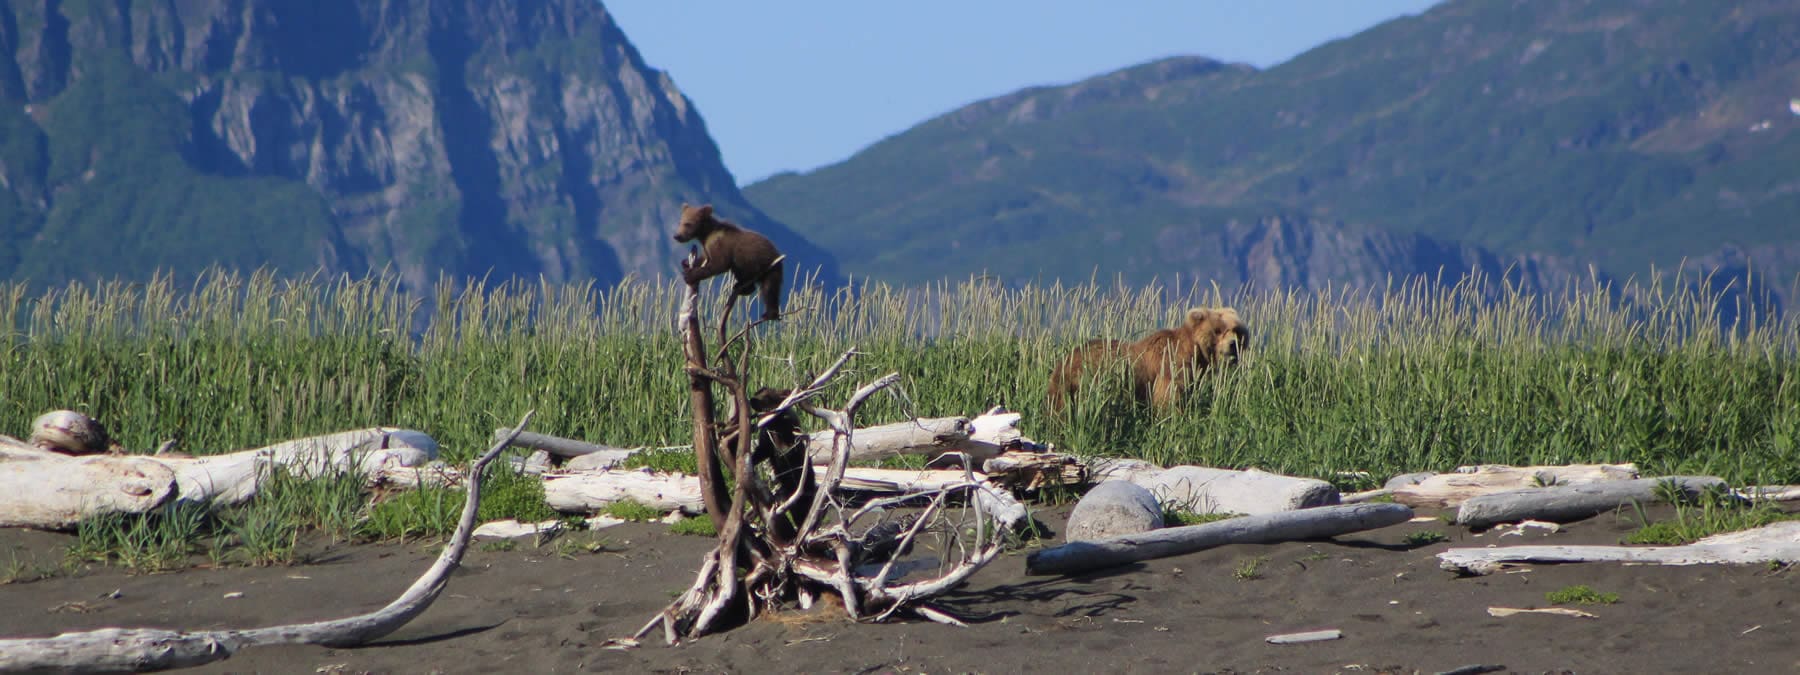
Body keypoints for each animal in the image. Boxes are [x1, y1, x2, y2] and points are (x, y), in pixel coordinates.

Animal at [1046, 307, 1248, 414]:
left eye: (1237, 331)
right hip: (1085, 382)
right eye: (1217, 330)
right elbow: (1168, 397)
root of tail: (1063, 362)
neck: (1195, 351)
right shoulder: (1170, 367)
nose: (1232, 345)